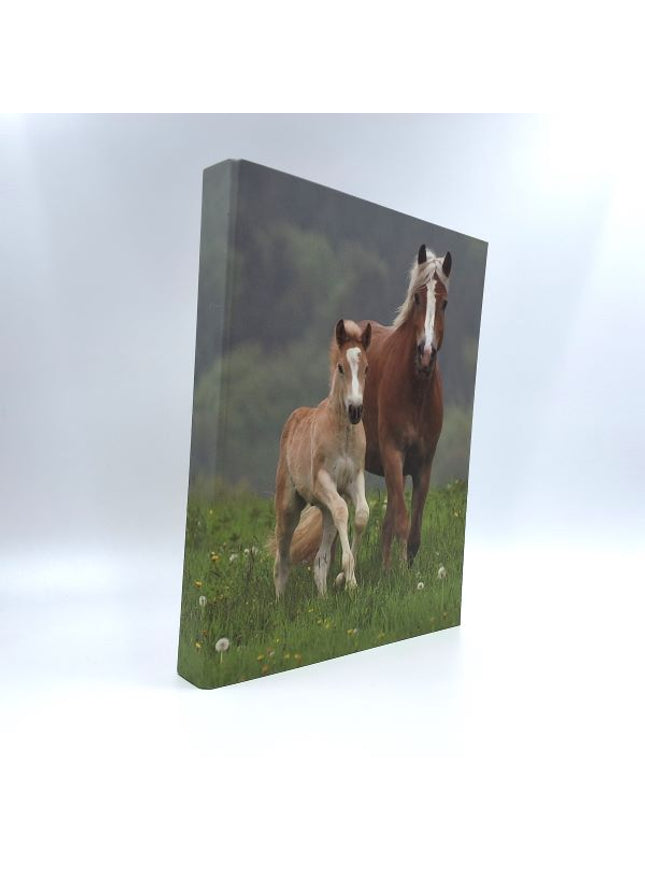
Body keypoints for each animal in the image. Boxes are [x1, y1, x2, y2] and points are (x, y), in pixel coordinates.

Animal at [271, 318, 372, 599]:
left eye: (366, 368)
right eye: (340, 367)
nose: (355, 410)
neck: (343, 434)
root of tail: (293, 418)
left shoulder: (355, 478)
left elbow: (361, 514)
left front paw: (343, 577)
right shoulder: (323, 481)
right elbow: (343, 510)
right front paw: (350, 581)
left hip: (323, 510)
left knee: (320, 559)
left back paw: (323, 597)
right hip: (288, 504)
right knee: (282, 552)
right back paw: (279, 600)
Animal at [358, 244, 452, 568]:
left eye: (444, 303)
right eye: (418, 298)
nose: (426, 354)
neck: (415, 394)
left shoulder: (423, 465)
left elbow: (413, 530)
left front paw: (402, 569)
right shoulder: (393, 454)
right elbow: (401, 520)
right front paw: (397, 571)